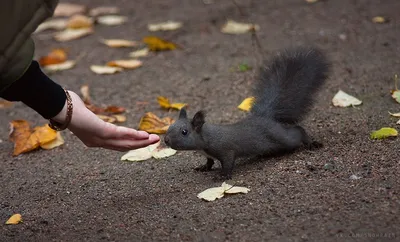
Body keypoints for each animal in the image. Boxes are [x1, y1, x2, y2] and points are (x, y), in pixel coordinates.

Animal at [164, 46, 330, 180]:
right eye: (169, 127)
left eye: (184, 132)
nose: (166, 140)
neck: (205, 138)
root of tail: (265, 117)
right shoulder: (208, 154)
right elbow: (209, 161)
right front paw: (204, 167)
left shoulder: (226, 150)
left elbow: (228, 163)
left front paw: (223, 176)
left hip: (282, 138)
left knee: (297, 132)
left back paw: (311, 143)